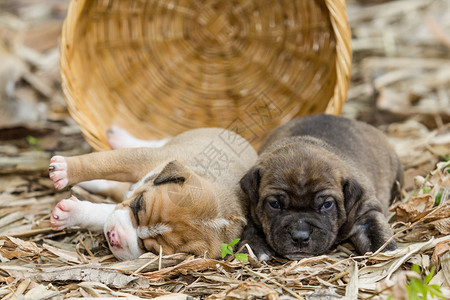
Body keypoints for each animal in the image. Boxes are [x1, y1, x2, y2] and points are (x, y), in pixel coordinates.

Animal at [49, 126, 256, 260]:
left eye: (151, 250)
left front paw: (71, 213)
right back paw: (117, 136)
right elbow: (103, 162)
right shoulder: (141, 160)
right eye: (139, 204)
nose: (114, 237)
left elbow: (104, 213)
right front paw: (65, 170)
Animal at [241, 113, 402, 262]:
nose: (300, 236)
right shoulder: (252, 209)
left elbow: (377, 234)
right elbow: (251, 227)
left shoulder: (366, 213)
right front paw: (253, 247)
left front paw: (387, 252)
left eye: (327, 204)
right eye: (274, 204)